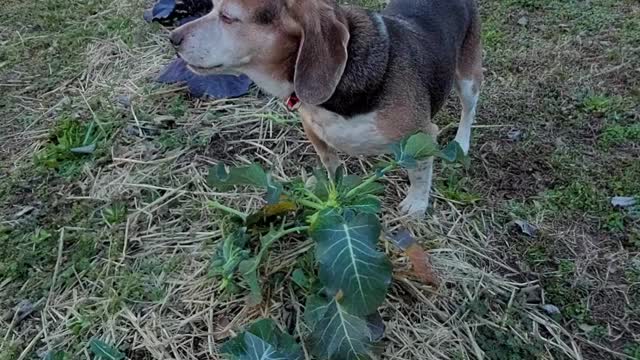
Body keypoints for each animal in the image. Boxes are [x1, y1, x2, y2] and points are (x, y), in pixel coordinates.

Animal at [170, 0, 480, 215]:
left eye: (228, 17)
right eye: (211, 7)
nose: (172, 38)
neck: (344, 74)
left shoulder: (422, 134)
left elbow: (420, 172)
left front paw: (416, 204)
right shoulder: (314, 131)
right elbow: (331, 166)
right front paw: (335, 192)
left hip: (468, 77)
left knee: (469, 109)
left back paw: (461, 143)